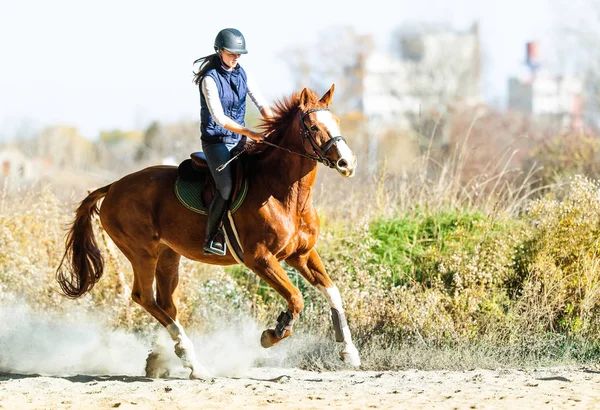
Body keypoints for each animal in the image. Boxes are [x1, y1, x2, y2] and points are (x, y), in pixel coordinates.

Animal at [56, 85, 360, 380]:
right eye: (314, 126)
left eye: (336, 121)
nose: (347, 163)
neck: (283, 193)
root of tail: (113, 186)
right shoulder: (260, 259)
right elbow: (296, 297)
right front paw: (273, 333)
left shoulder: (302, 254)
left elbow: (333, 292)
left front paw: (349, 352)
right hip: (142, 253)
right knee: (145, 298)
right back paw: (191, 361)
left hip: (168, 255)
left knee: (166, 304)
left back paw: (176, 359)